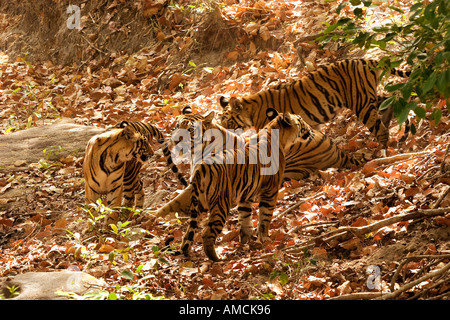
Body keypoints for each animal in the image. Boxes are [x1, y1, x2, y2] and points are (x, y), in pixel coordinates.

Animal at [156, 109, 312, 262]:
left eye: (189, 129)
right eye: (177, 126)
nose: (310, 128)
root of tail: (201, 166)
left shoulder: (245, 195)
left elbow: (245, 218)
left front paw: (247, 241)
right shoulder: (271, 190)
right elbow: (264, 217)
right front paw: (265, 239)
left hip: (200, 201)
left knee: (189, 231)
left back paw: (187, 252)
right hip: (221, 202)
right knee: (207, 233)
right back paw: (217, 259)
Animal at [220, 59, 410, 149]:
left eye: (227, 122)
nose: (223, 133)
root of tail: (366, 60)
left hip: (361, 103)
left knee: (381, 129)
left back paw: (381, 150)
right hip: (368, 98)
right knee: (392, 101)